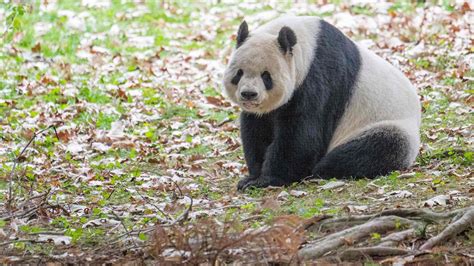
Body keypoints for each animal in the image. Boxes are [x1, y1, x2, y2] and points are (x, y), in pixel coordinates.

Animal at [223, 15, 422, 190]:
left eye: (266, 76)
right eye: (239, 73)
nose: (249, 94)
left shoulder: (317, 79)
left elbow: (301, 134)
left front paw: (268, 179)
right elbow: (257, 130)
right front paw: (252, 177)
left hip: (387, 124)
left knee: (375, 148)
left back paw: (322, 169)